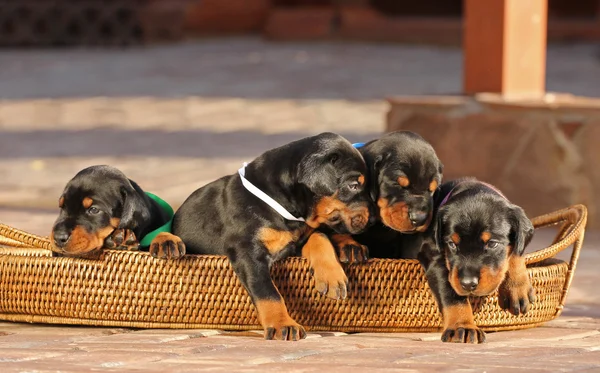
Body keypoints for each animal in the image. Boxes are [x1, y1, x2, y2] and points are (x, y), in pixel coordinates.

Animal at [171, 133, 372, 340]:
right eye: (353, 185)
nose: (372, 218)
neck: (281, 205)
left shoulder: (294, 243)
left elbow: (320, 237)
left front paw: (333, 277)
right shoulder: (247, 252)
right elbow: (267, 292)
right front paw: (282, 324)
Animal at [418, 177, 536, 342]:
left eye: (492, 243)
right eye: (452, 244)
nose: (468, 284)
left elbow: (516, 251)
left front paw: (516, 287)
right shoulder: (432, 254)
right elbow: (451, 293)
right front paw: (462, 326)